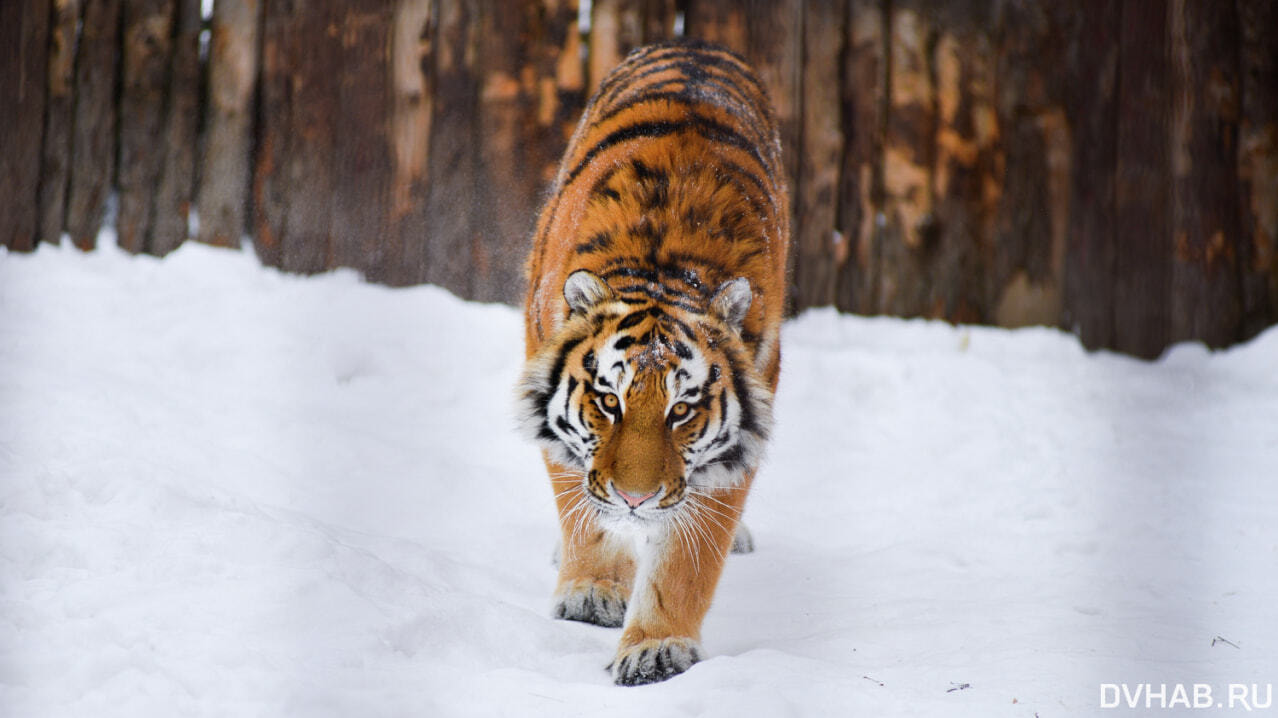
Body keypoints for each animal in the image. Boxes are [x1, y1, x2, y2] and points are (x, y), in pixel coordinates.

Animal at [513, 37, 782, 679]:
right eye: (608, 401)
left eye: (681, 411)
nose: (635, 500)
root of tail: (694, 43)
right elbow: (580, 505)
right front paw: (592, 593)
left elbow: (688, 556)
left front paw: (657, 648)